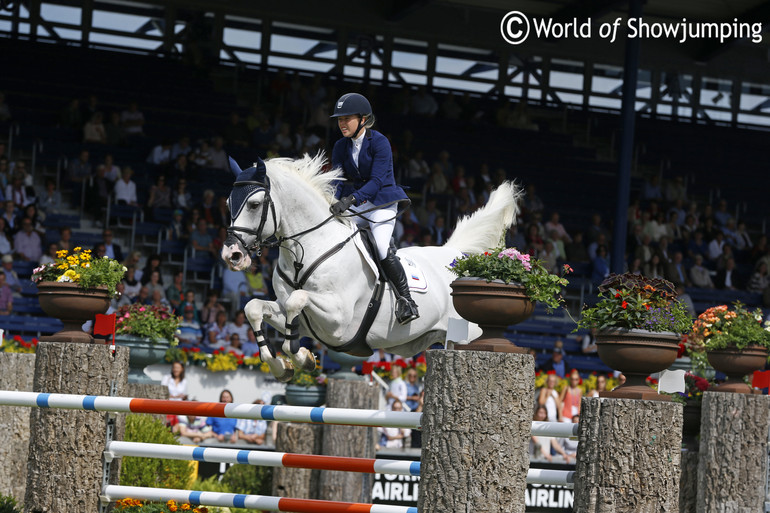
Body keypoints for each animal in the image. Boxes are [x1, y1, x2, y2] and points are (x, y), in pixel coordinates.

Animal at [222, 154, 520, 382]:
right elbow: (254, 308)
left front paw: (303, 358)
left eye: (254, 204)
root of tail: (454, 254)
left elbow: (297, 300)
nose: (232, 255)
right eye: (228, 203)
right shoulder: (297, 318)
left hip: (470, 334)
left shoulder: (337, 320)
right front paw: (281, 366)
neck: (306, 250)